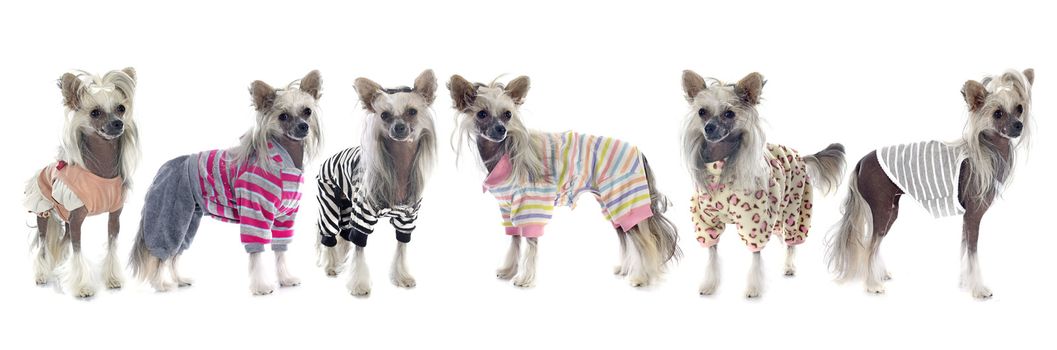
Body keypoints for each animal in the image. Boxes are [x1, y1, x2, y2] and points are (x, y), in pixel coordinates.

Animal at [126, 70, 321, 296]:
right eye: (283, 116)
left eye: (307, 111)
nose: (303, 127)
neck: (287, 160)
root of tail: (163, 168)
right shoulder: (255, 215)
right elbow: (257, 255)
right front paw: (261, 286)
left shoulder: (285, 219)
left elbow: (280, 251)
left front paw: (285, 278)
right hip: (169, 214)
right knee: (162, 254)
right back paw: (161, 284)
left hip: (187, 218)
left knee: (176, 254)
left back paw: (180, 279)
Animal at [319, 69, 439, 298]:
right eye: (384, 115)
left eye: (412, 112)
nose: (399, 127)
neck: (399, 164)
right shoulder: (362, 216)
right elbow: (359, 248)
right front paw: (359, 285)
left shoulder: (407, 220)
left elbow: (401, 247)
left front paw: (402, 277)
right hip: (328, 201)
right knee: (329, 233)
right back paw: (330, 265)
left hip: (346, 205)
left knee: (344, 234)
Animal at [448, 73, 680, 287]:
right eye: (482, 114)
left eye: (508, 114)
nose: (501, 130)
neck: (503, 152)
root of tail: (639, 152)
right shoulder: (507, 208)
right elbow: (514, 240)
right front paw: (508, 270)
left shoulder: (532, 206)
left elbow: (530, 243)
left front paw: (524, 278)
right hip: (610, 201)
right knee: (624, 234)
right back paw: (626, 269)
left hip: (624, 198)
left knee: (644, 240)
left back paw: (641, 277)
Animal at [680, 71, 845, 298]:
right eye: (701, 112)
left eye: (729, 114)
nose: (708, 128)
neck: (720, 163)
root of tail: (800, 156)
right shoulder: (706, 222)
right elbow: (712, 255)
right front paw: (710, 285)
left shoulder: (754, 222)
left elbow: (756, 257)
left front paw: (754, 288)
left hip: (796, 210)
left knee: (792, 242)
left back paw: (789, 266)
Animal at [824, 68, 1031, 298]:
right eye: (997, 113)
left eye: (1020, 108)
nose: (1018, 125)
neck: (988, 151)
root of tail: (861, 161)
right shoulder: (973, 215)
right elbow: (972, 253)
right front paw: (978, 289)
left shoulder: (966, 219)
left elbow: (964, 251)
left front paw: (965, 283)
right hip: (883, 209)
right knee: (870, 245)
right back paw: (872, 284)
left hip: (888, 210)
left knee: (873, 242)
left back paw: (879, 274)